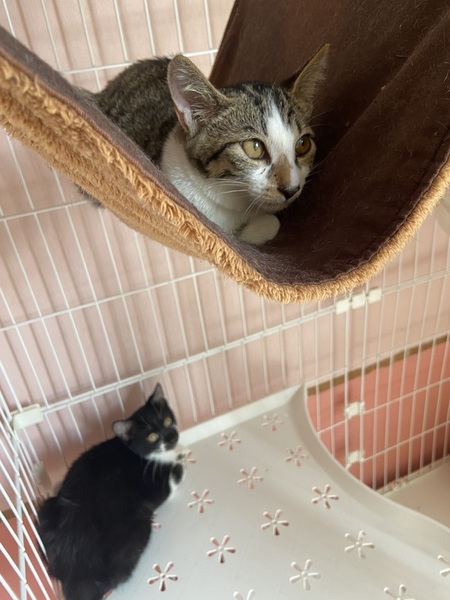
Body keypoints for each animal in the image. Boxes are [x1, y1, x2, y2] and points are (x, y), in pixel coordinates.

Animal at [36, 384, 184, 600]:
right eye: (152, 437)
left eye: (166, 420)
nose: (172, 438)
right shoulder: (152, 484)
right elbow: (172, 479)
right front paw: (179, 463)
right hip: (139, 526)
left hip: (47, 507)